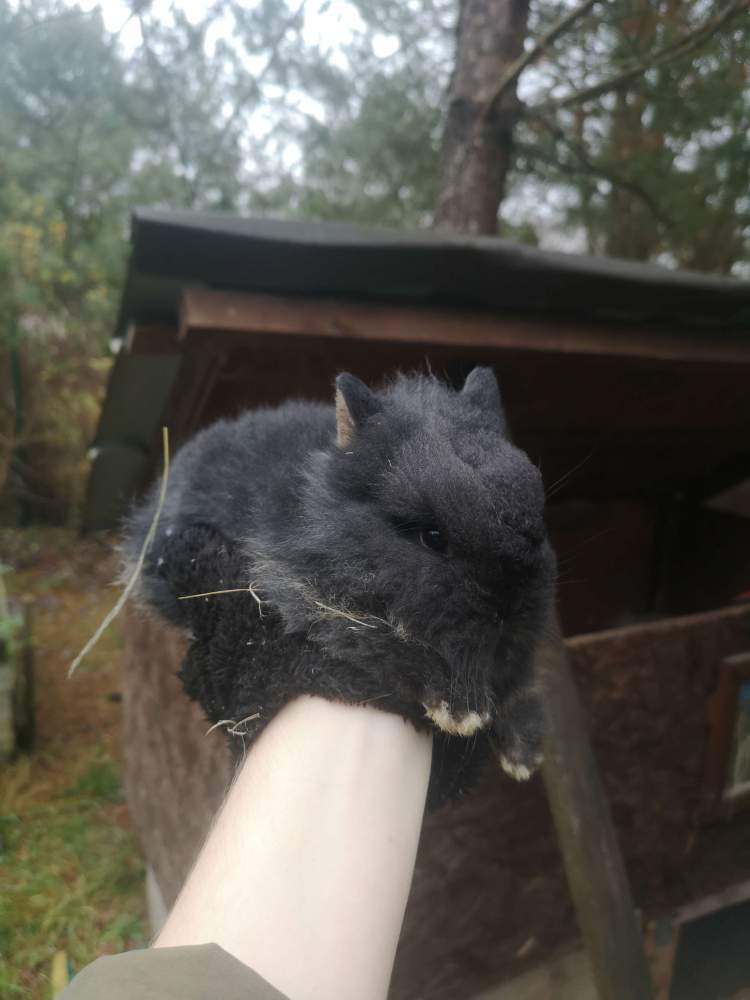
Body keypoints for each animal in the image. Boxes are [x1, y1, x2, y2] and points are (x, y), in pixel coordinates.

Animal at [123, 367, 556, 806]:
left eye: (538, 521)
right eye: (432, 537)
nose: (508, 606)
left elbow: (518, 674)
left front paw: (524, 752)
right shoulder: (309, 598)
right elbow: (388, 647)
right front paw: (462, 711)